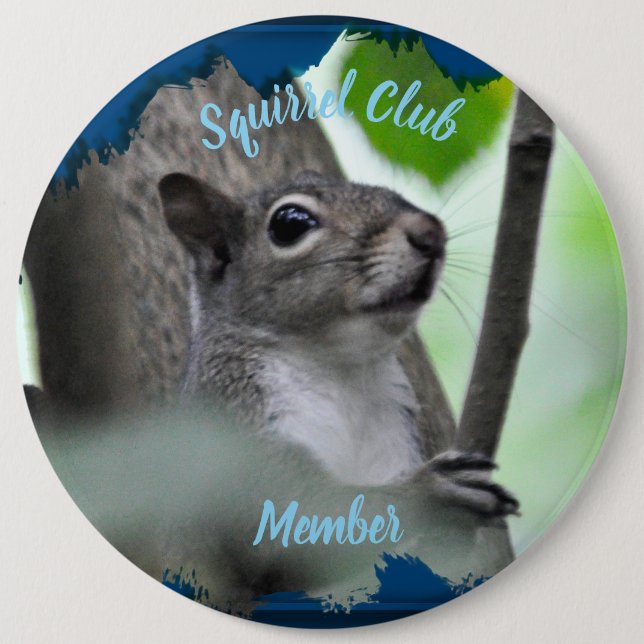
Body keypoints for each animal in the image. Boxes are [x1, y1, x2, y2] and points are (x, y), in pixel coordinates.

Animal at [23, 61, 517, 614]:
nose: (430, 232)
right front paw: (432, 495)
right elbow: (295, 523)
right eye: (290, 223)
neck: (339, 366)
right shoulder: (231, 433)